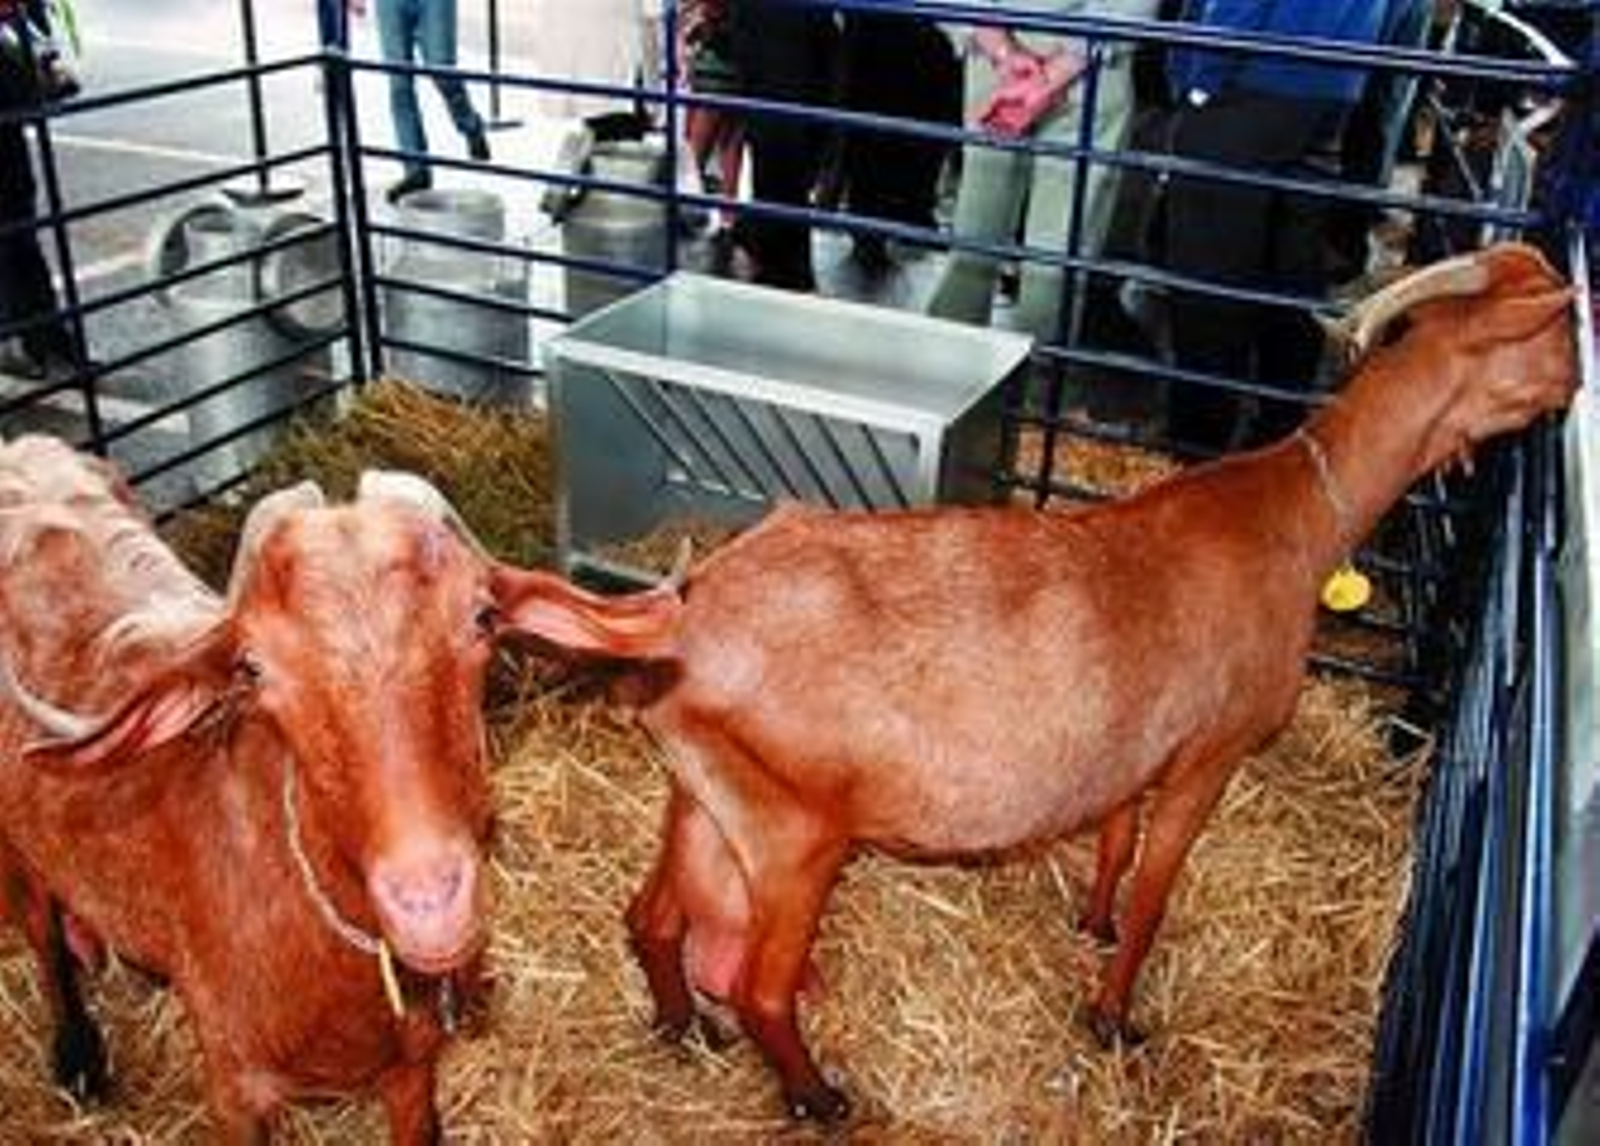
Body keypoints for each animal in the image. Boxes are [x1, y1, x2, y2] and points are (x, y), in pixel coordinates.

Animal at [0, 437, 680, 1142]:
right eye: (252, 668)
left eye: (484, 617)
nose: (429, 903)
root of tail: (22, 448)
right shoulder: (232, 1086)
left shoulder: (412, 1069)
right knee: (43, 939)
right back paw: (79, 1060)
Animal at [619, 242, 1579, 1120]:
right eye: (1560, 326)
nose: (1572, 390)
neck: (1291, 517)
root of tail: (684, 619)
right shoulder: (1211, 753)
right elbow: (1157, 891)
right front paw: (1114, 1017)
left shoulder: (1134, 748)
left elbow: (1117, 841)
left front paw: (1094, 923)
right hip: (795, 834)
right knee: (762, 987)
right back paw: (819, 1098)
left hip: (705, 797)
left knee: (653, 918)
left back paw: (681, 1027)